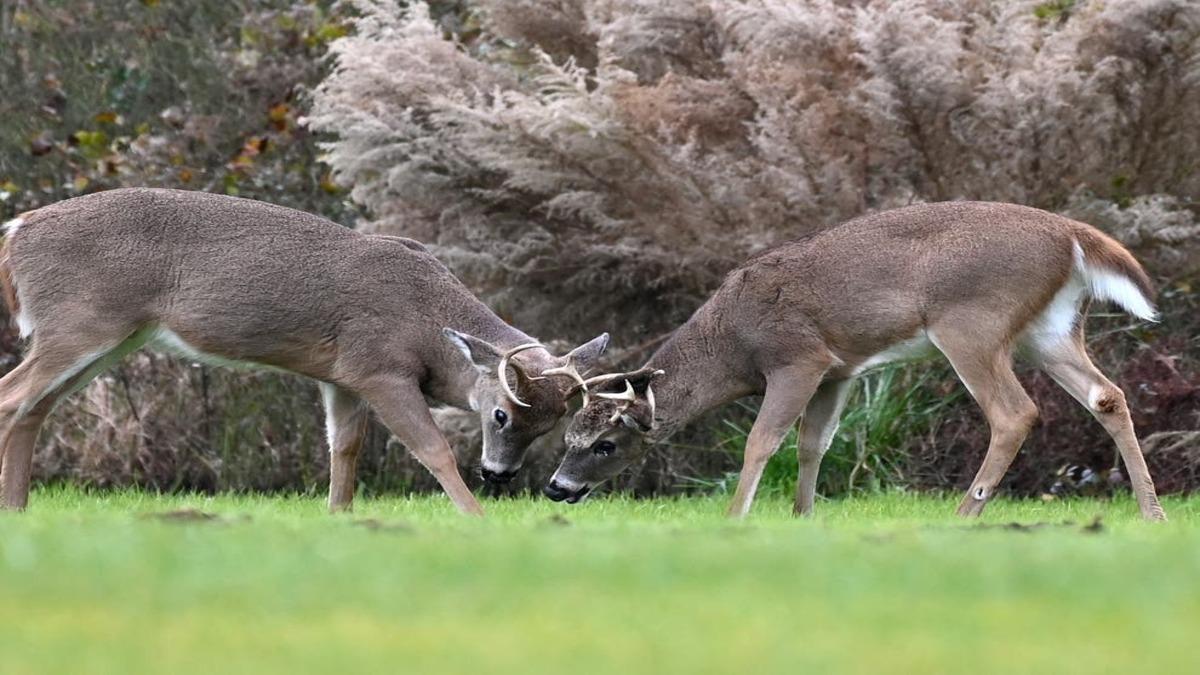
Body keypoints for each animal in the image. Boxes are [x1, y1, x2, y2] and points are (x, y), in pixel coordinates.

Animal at [0, 186, 609, 511]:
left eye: (551, 424)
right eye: (501, 413)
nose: (501, 475)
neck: (426, 321)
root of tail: (15, 231)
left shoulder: (341, 377)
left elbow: (344, 450)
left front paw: (339, 517)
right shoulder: (378, 366)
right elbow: (431, 448)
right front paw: (475, 518)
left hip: (110, 336)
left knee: (34, 407)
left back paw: (19, 506)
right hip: (79, 322)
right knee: (13, 396)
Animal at [549, 199, 1166, 521]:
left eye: (606, 444)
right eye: (568, 437)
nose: (556, 487)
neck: (731, 343)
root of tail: (1074, 235)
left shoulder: (797, 357)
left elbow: (762, 441)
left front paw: (736, 517)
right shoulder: (838, 370)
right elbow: (813, 444)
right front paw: (802, 517)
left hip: (971, 323)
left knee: (1015, 413)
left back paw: (964, 515)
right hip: (1051, 329)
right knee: (1107, 396)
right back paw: (1151, 511)